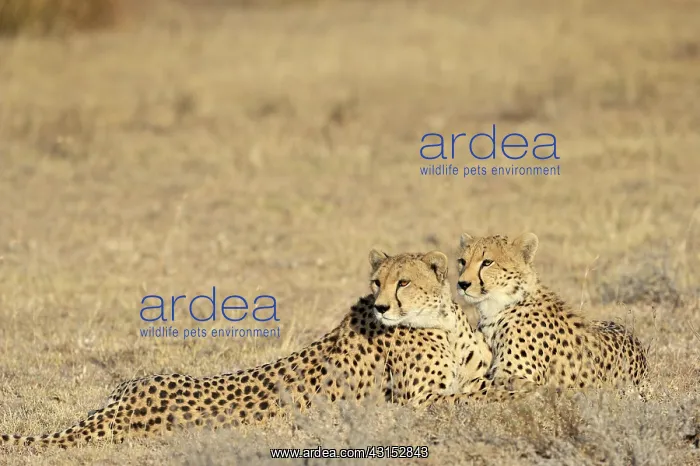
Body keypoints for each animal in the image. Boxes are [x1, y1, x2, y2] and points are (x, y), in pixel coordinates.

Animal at [1, 249, 491, 449]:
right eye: (377, 282)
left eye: (403, 281)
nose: (383, 304)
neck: (441, 320)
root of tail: (121, 406)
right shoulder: (417, 403)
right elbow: (473, 395)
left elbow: (482, 383)